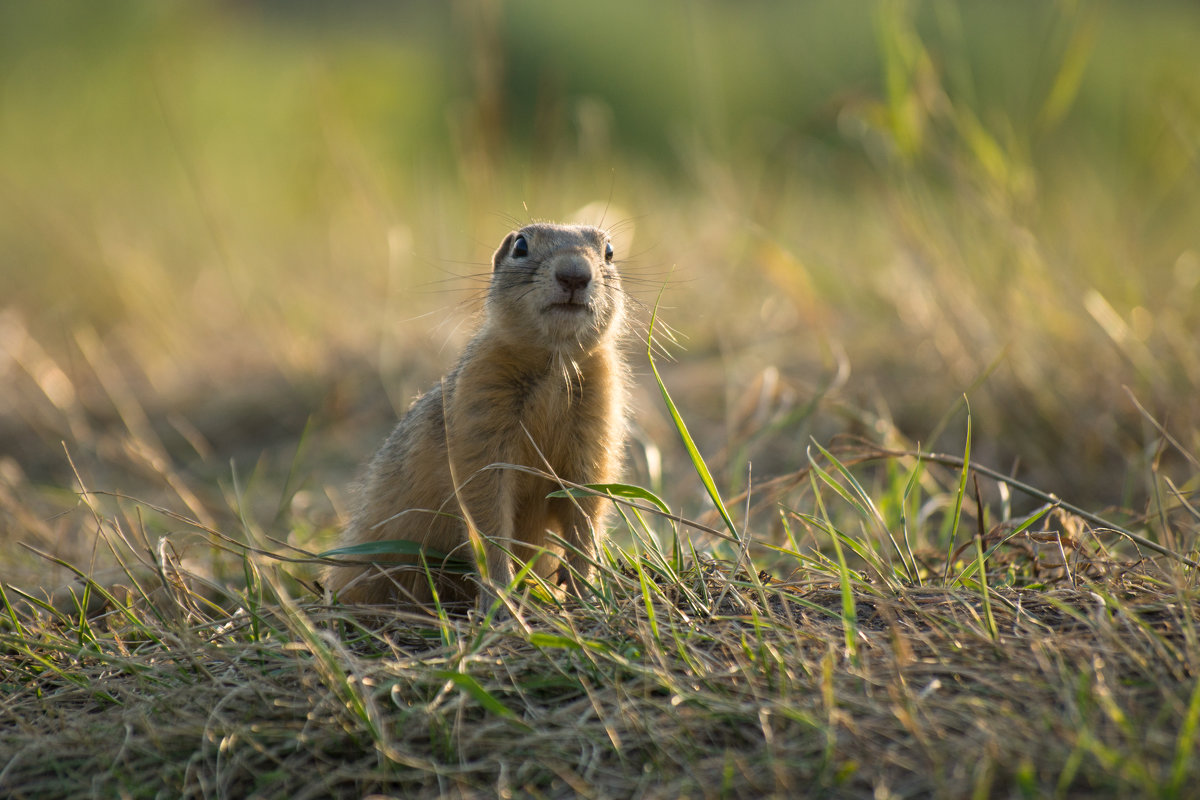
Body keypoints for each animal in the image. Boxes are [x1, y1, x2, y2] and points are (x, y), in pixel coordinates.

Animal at [326, 221, 628, 604]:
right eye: (520, 246)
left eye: (609, 252)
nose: (574, 274)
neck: (553, 364)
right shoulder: (480, 408)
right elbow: (487, 512)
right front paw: (500, 596)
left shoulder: (596, 425)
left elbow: (586, 506)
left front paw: (583, 588)